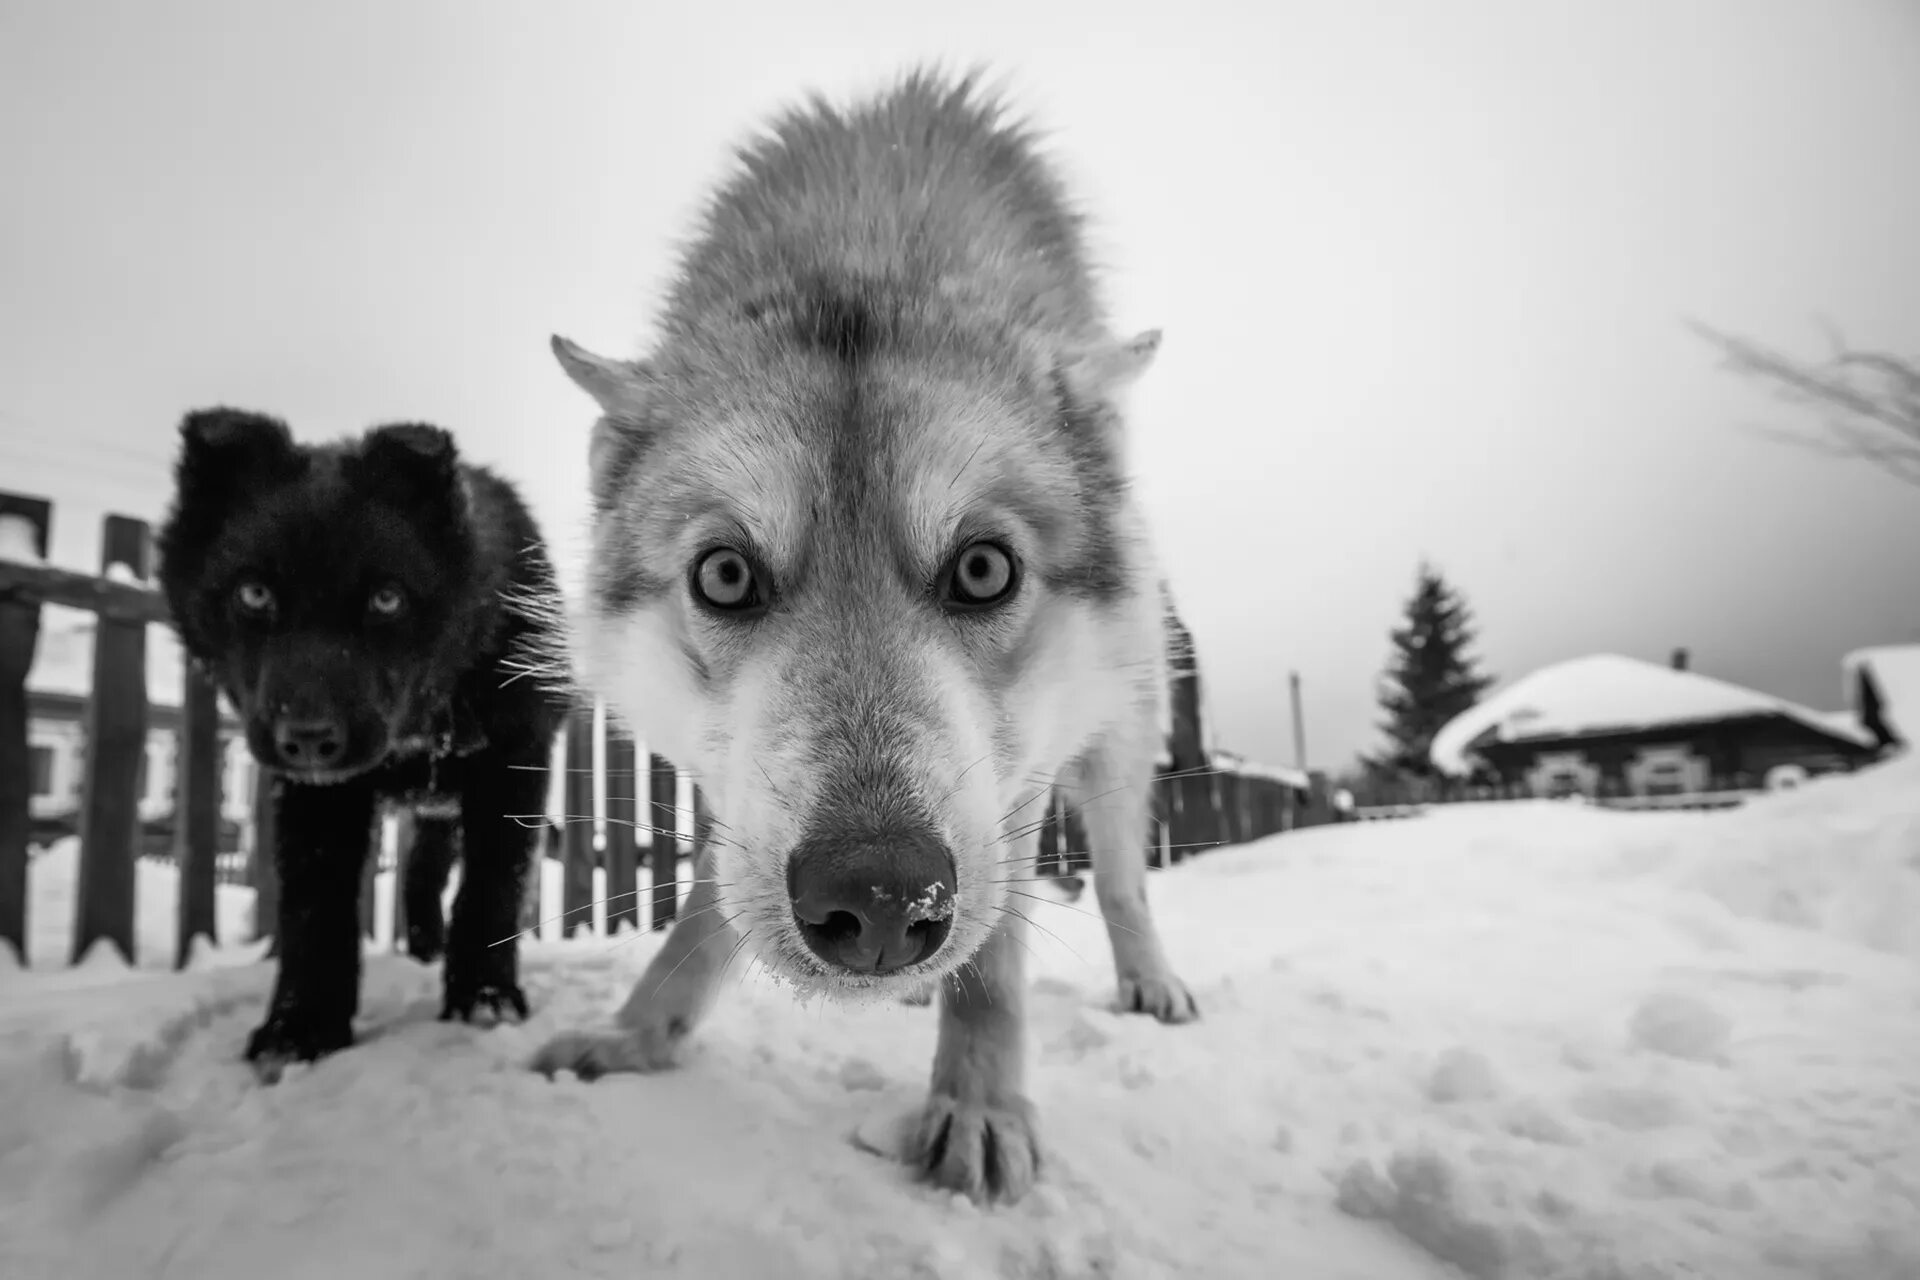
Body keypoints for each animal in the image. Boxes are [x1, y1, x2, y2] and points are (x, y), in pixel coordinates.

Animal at [158, 412, 564, 1082]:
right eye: (254, 594)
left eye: (386, 598)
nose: (308, 738)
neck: (427, 722)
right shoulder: (317, 800)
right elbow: (314, 909)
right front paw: (300, 1027)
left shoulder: (515, 762)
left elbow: (492, 888)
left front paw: (485, 998)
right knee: (418, 878)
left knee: (428, 874)